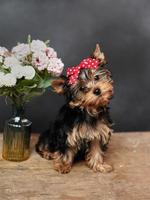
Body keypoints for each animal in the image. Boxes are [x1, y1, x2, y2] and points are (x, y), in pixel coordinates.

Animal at [35, 43, 113, 173]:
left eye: (96, 77)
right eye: (82, 88)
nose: (97, 90)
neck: (88, 110)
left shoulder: (98, 132)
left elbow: (96, 149)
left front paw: (99, 165)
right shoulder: (66, 133)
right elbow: (65, 150)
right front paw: (63, 165)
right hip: (49, 134)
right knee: (43, 145)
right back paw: (48, 153)